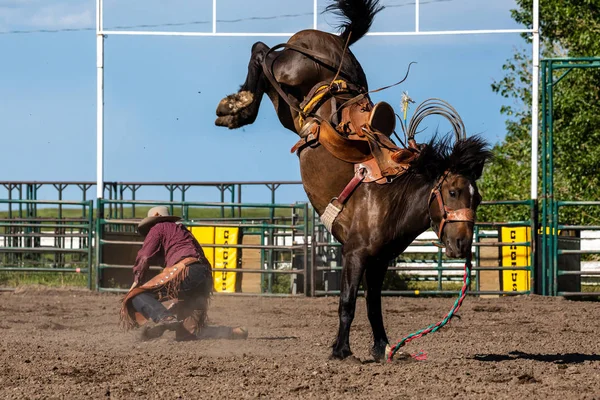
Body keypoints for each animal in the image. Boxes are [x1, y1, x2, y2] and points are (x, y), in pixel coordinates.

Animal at [214, 0, 492, 362]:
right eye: (454, 191)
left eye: (477, 198)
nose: (462, 245)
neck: (390, 199)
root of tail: (335, 40)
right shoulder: (355, 253)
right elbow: (347, 302)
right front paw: (341, 350)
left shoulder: (379, 261)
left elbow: (373, 305)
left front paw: (381, 347)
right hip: (286, 78)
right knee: (261, 53)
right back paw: (237, 106)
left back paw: (238, 109)